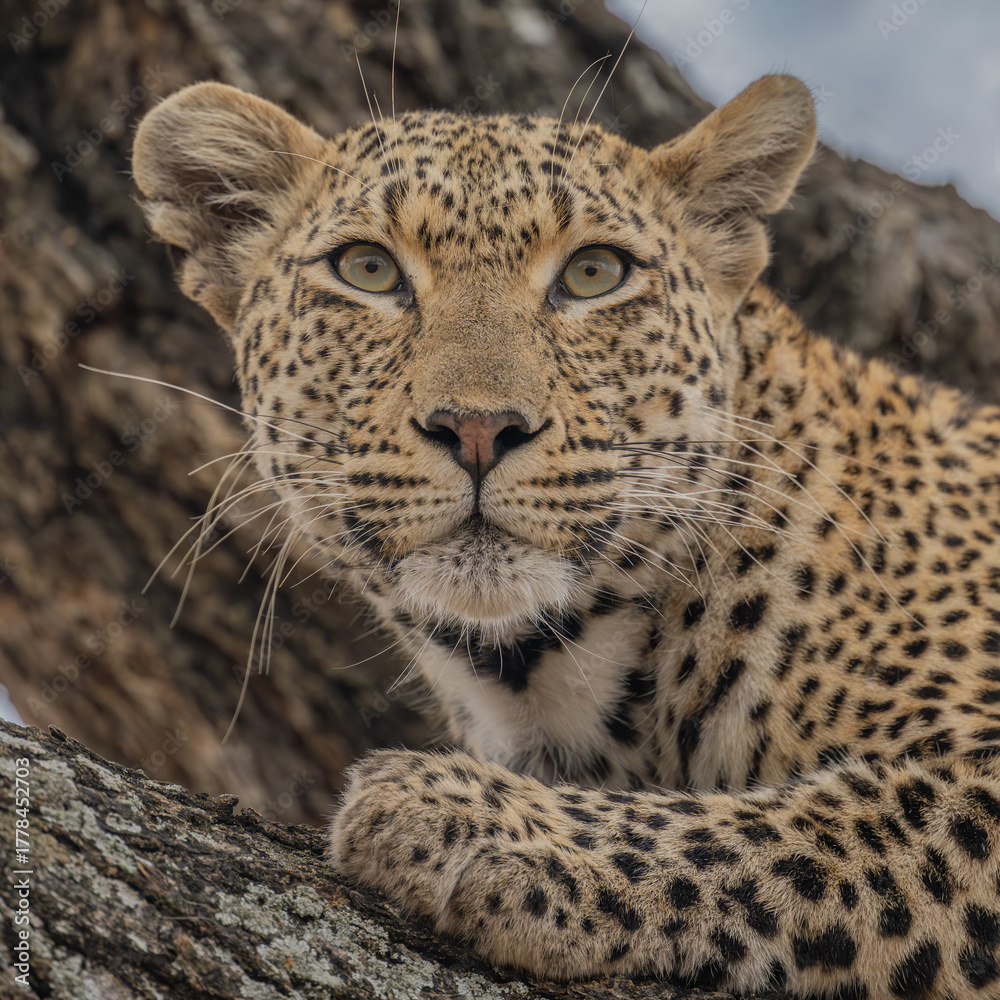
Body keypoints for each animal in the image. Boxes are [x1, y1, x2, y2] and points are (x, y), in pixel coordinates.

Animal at [132, 74, 1000, 998]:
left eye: (594, 273)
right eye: (366, 268)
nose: (479, 428)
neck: (546, 671)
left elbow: (821, 831)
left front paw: (470, 821)